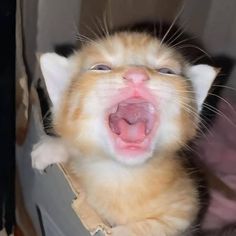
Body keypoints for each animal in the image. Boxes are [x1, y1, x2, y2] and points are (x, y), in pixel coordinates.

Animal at [31, 31, 218, 236]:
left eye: (166, 71)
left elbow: (155, 227)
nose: (137, 74)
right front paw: (53, 147)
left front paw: (123, 231)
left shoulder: (186, 207)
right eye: (101, 68)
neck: (123, 176)